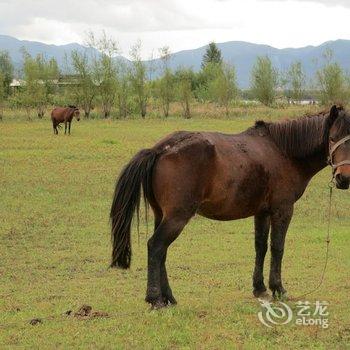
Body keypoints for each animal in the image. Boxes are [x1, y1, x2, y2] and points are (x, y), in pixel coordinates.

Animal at [110, 105, 350, 308]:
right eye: (332, 138)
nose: (343, 178)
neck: (283, 152)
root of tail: (159, 149)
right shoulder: (282, 210)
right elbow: (277, 247)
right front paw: (278, 289)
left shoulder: (262, 212)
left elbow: (260, 247)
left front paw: (260, 288)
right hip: (177, 217)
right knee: (156, 246)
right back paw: (155, 299)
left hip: (162, 215)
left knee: (162, 252)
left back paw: (169, 297)